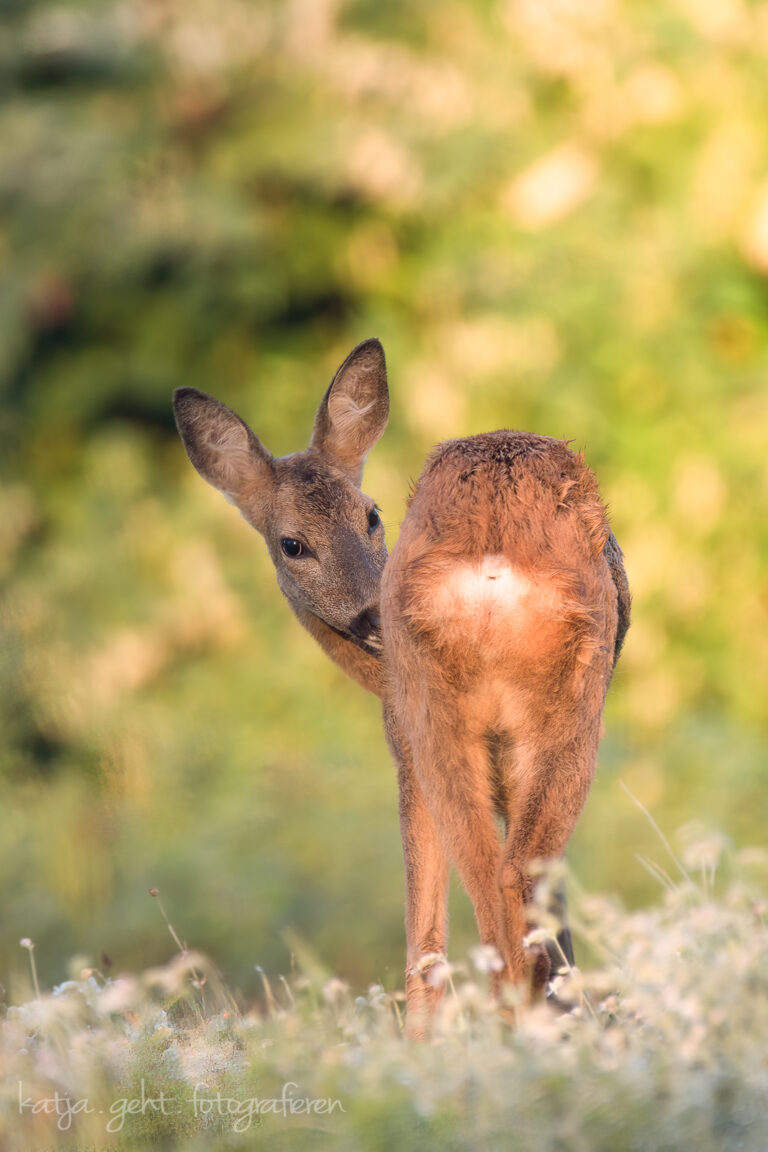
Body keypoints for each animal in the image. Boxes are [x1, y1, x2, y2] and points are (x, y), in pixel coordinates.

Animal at [173, 336, 630, 1041]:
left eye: (371, 515)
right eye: (291, 542)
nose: (369, 617)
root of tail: (492, 545)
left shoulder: (403, 746)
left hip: (455, 715)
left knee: (488, 893)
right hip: (547, 709)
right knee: (510, 879)